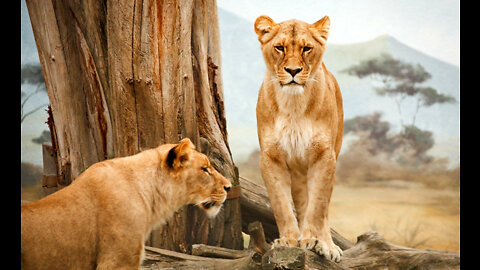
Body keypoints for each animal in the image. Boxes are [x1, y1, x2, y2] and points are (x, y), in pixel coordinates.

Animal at [253, 15, 344, 260]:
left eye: (306, 48)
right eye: (279, 47)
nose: (293, 71)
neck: (293, 104)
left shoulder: (324, 156)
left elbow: (318, 207)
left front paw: (314, 241)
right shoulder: (270, 158)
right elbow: (282, 205)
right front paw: (289, 241)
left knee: (323, 208)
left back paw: (328, 245)